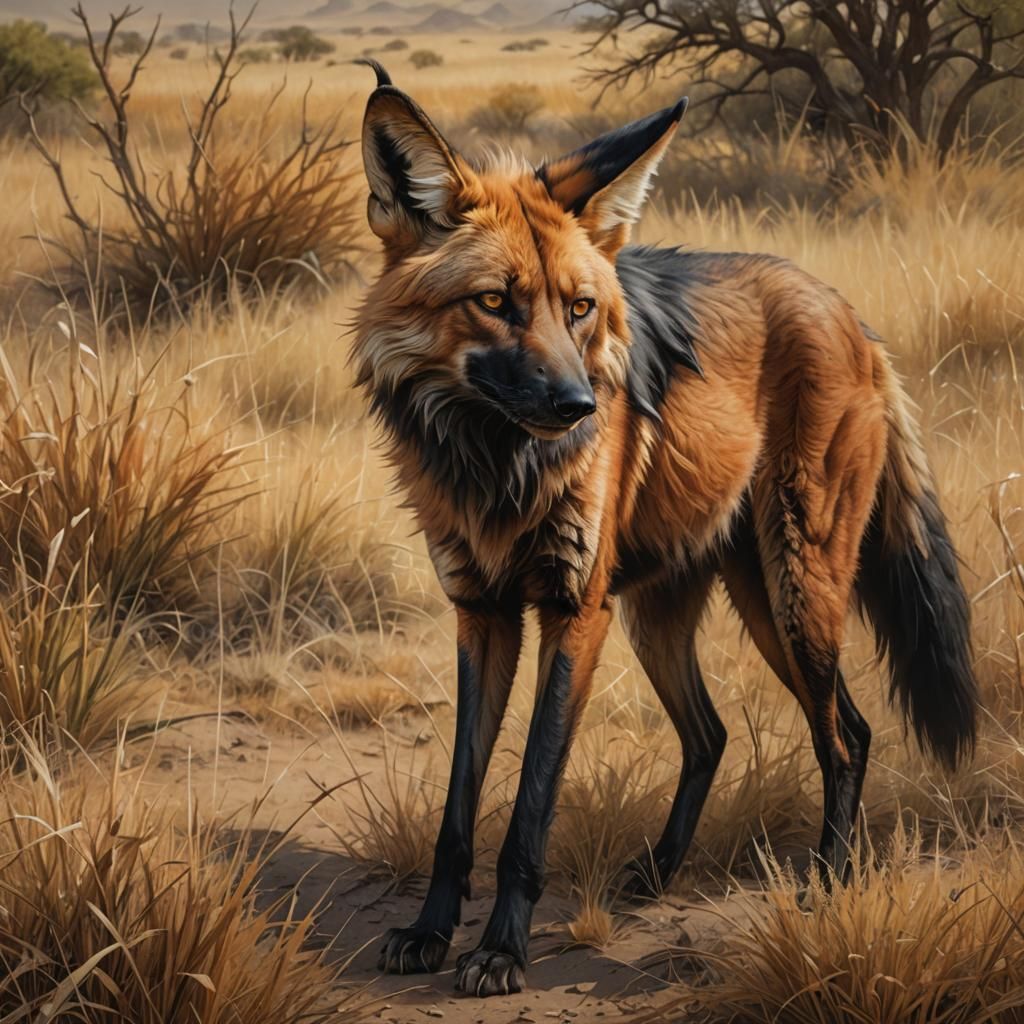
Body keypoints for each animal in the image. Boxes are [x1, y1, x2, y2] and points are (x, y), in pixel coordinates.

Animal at [352, 61, 978, 997]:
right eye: (495, 302)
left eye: (579, 308)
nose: (581, 405)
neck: (495, 468)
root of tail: (846, 311)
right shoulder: (484, 613)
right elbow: (460, 806)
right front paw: (429, 934)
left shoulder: (574, 613)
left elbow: (530, 804)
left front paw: (501, 951)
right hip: (678, 615)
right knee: (718, 733)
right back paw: (656, 872)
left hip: (795, 598)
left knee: (846, 736)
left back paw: (827, 885)